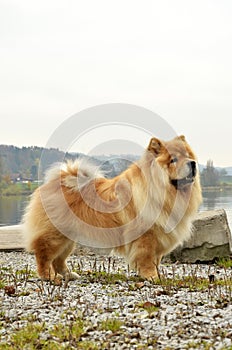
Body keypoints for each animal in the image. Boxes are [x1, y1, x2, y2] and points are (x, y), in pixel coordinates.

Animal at [22, 135, 202, 280]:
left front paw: (158, 275)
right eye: (173, 160)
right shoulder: (146, 237)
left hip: (68, 238)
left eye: (188, 157)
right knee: (44, 256)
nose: (193, 164)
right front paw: (152, 276)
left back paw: (69, 275)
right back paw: (49, 277)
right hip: (55, 235)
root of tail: (57, 181)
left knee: (59, 260)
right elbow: (147, 259)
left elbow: (156, 260)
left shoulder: (158, 237)